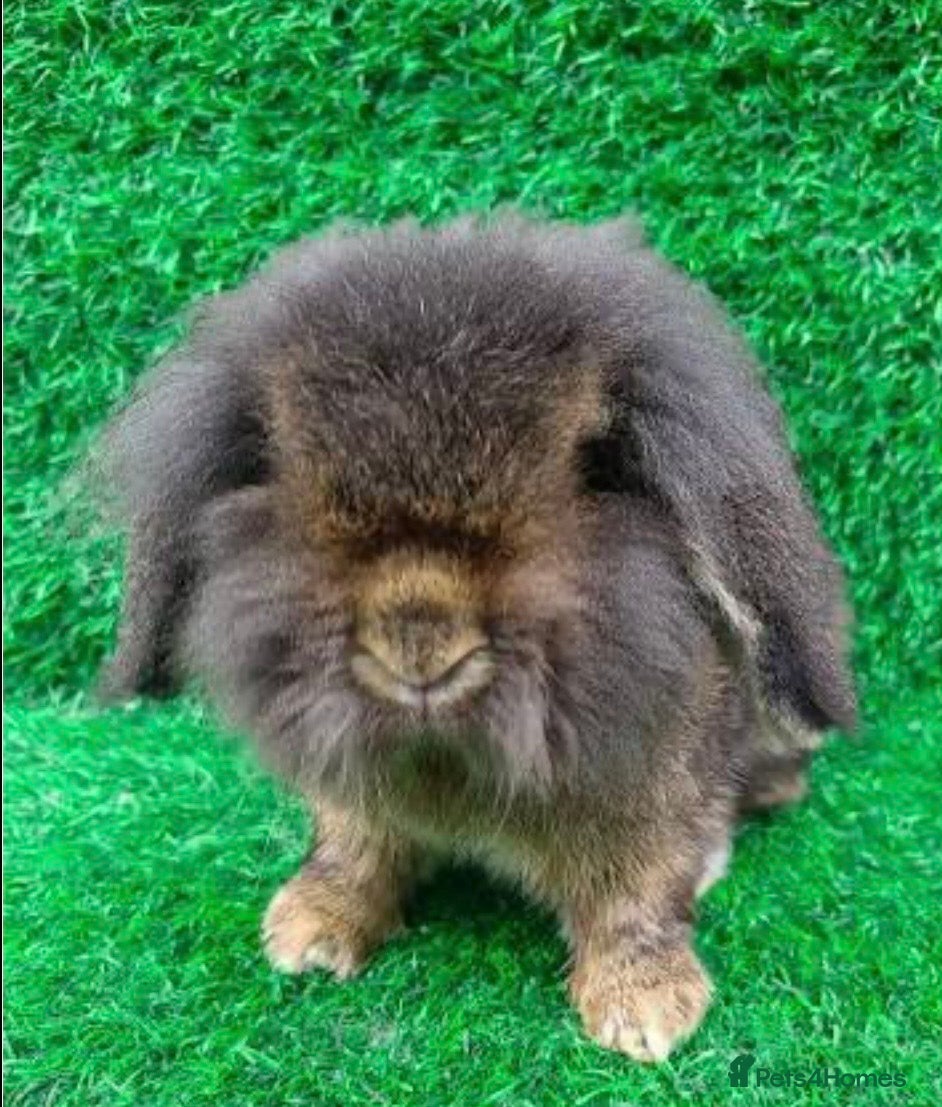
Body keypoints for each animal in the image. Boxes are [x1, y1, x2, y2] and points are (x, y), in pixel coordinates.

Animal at [97, 213, 855, 1061]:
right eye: (287, 473)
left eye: (595, 468)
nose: (419, 635)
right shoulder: (349, 792)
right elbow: (351, 849)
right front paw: (306, 935)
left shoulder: (656, 800)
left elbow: (638, 892)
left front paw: (645, 1014)